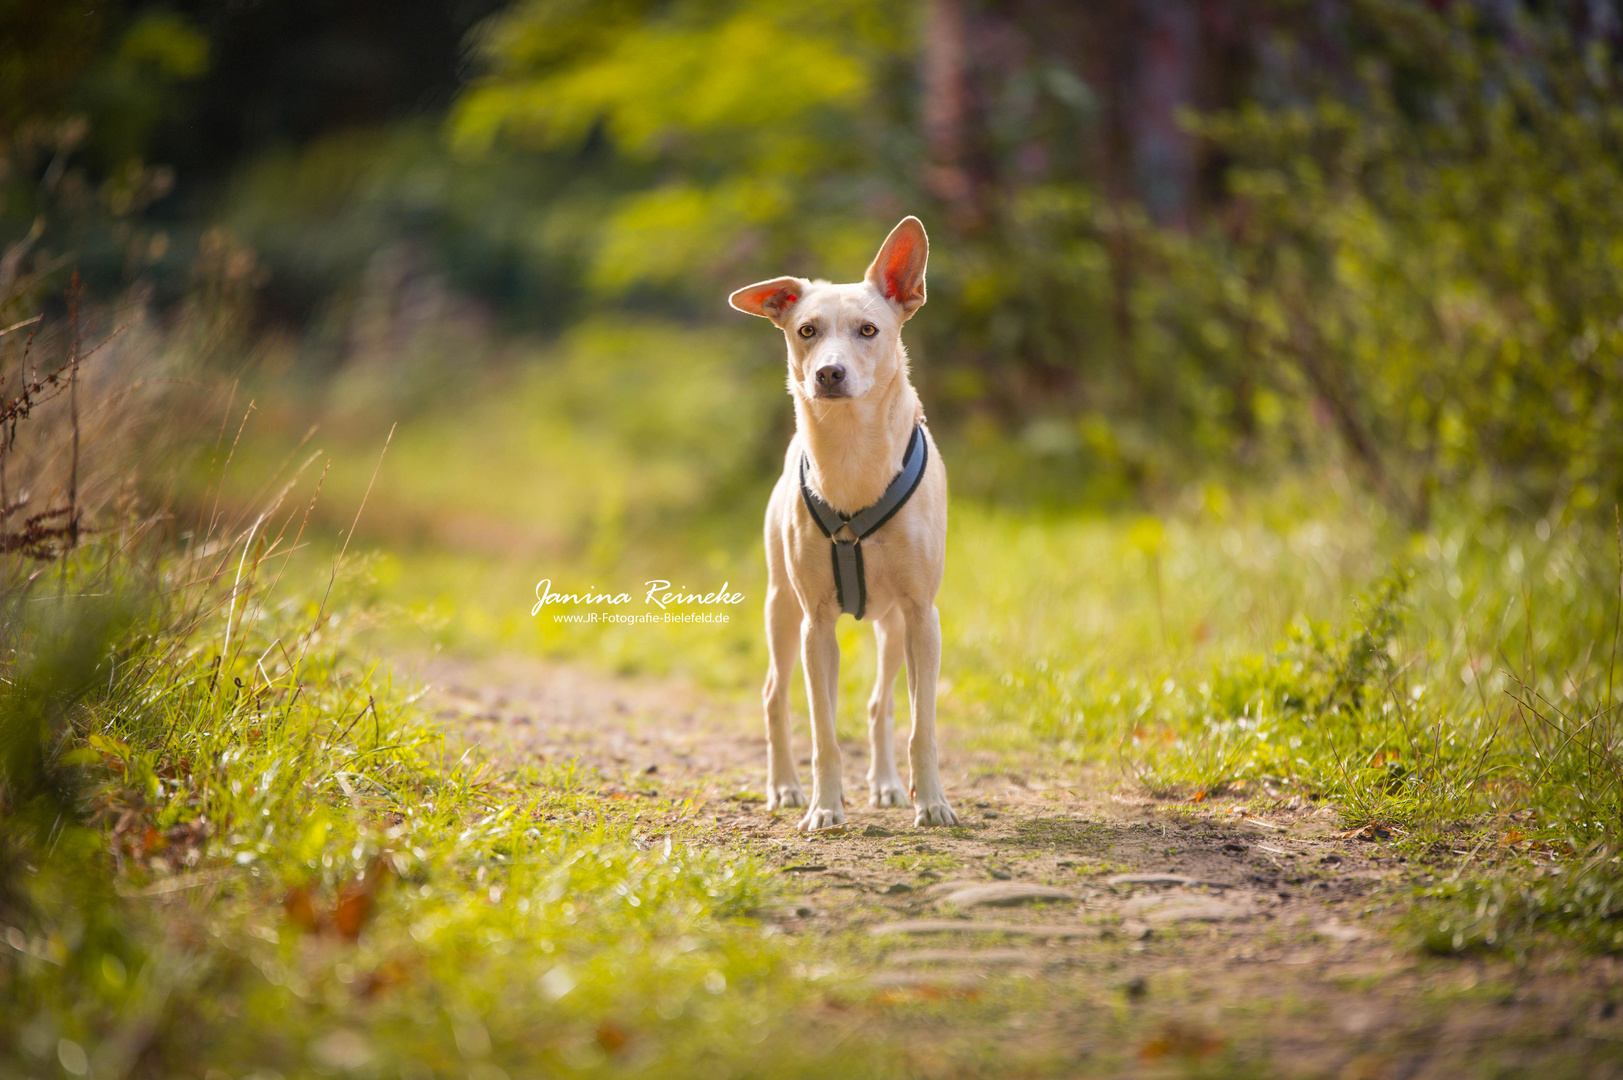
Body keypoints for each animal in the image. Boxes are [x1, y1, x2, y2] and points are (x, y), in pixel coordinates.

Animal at [730, 214, 954, 828]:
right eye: (806, 330)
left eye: (869, 330)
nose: (829, 373)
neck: (853, 452)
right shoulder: (817, 622)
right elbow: (823, 729)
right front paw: (824, 807)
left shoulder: (922, 615)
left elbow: (922, 725)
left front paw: (932, 801)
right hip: (783, 609)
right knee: (778, 696)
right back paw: (784, 786)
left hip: (893, 624)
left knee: (881, 702)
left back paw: (887, 784)